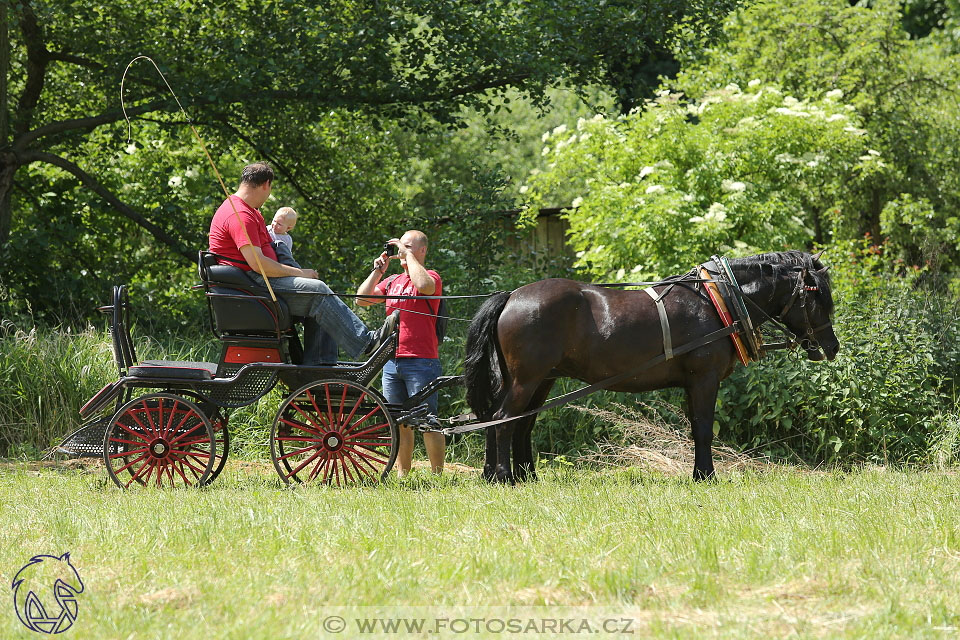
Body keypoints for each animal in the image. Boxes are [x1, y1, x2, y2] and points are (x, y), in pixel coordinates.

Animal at [464, 250, 840, 480]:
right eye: (815, 296)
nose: (831, 347)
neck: (717, 301)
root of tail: (511, 297)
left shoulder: (692, 383)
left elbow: (696, 428)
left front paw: (699, 474)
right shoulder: (705, 379)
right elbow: (704, 428)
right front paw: (707, 476)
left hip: (541, 380)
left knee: (514, 422)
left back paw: (514, 475)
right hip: (527, 379)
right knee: (503, 419)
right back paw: (504, 476)